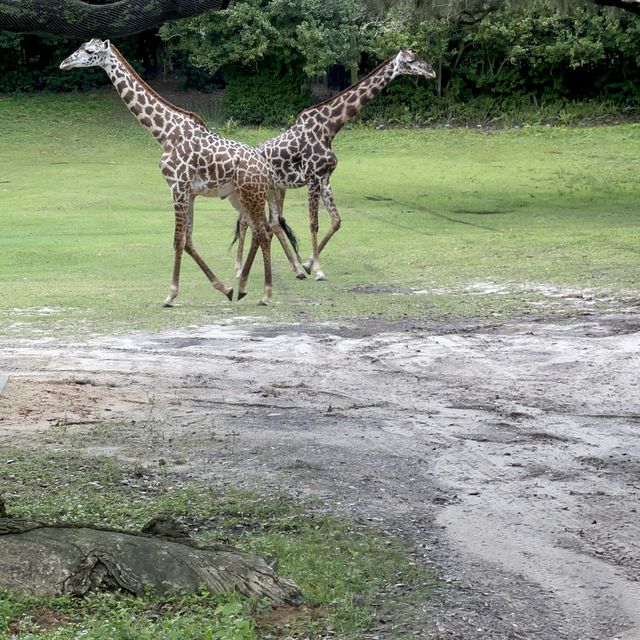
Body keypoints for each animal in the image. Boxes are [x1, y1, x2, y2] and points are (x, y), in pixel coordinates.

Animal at [58, 38, 302, 306]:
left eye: (90, 51)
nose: (64, 63)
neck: (164, 133)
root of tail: (267, 170)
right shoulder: (190, 193)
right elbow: (189, 240)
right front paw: (224, 288)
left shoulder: (177, 187)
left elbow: (178, 240)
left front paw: (171, 294)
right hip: (240, 197)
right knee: (262, 231)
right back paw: (242, 288)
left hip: (251, 195)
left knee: (263, 232)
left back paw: (266, 294)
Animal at [235, 47, 436, 280]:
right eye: (410, 60)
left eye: (419, 56)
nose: (431, 72)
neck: (330, 127)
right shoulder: (313, 178)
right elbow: (313, 223)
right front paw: (318, 270)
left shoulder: (325, 178)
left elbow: (336, 221)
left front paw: (307, 264)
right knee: (247, 222)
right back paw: (239, 269)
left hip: (275, 188)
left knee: (271, 222)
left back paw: (295, 269)